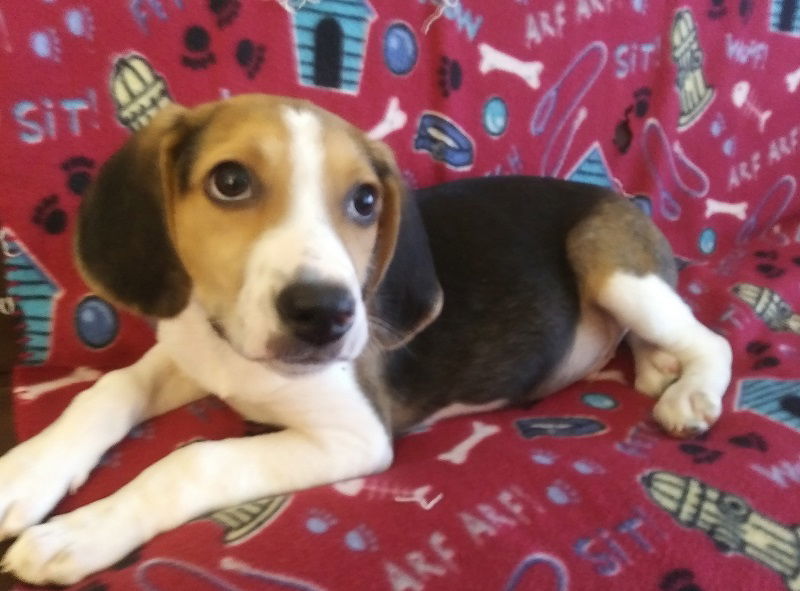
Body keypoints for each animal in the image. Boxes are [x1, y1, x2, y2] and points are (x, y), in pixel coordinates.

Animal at [0, 95, 732, 584]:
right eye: (230, 181)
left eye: (365, 201)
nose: (326, 314)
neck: (234, 345)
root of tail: (620, 199)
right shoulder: (191, 349)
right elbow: (107, 388)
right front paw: (25, 474)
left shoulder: (353, 436)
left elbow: (194, 459)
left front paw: (81, 530)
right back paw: (657, 367)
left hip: (611, 264)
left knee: (713, 340)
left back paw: (688, 392)